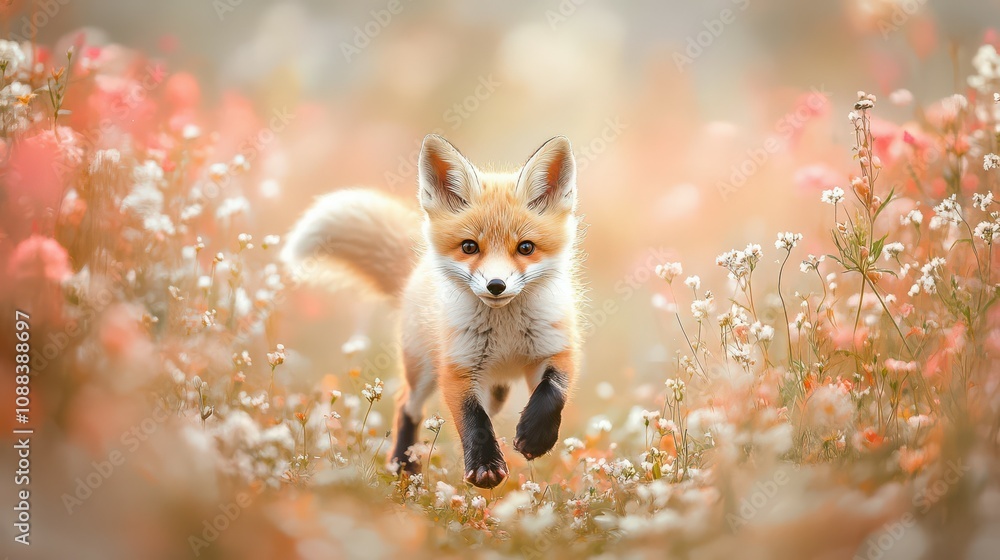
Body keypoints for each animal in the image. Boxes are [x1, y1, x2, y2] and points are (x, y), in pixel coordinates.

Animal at [281, 134, 583, 488]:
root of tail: (416, 270)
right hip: (423, 371)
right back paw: (403, 465)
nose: (496, 285)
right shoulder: (457, 367)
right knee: (407, 406)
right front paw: (485, 467)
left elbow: (553, 393)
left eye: (526, 248)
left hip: (491, 386)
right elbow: (473, 419)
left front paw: (535, 437)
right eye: (469, 247)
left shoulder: (555, 349)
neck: (505, 331)